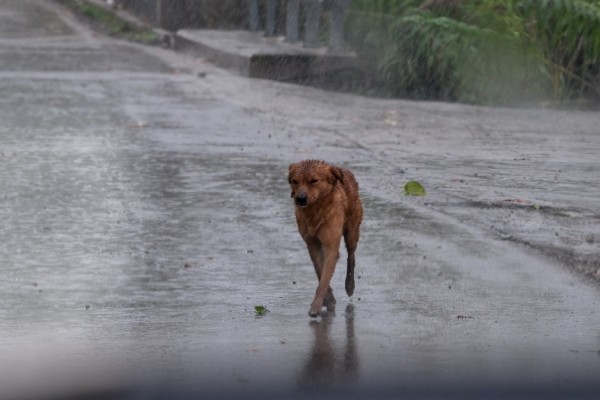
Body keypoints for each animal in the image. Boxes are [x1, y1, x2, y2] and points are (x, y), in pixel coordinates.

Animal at [288, 159, 364, 316]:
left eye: (313, 181)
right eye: (294, 181)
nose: (300, 199)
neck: (315, 210)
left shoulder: (331, 246)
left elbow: (323, 279)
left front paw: (316, 306)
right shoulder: (312, 244)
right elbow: (320, 271)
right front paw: (328, 300)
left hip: (352, 230)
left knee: (351, 256)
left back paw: (349, 285)